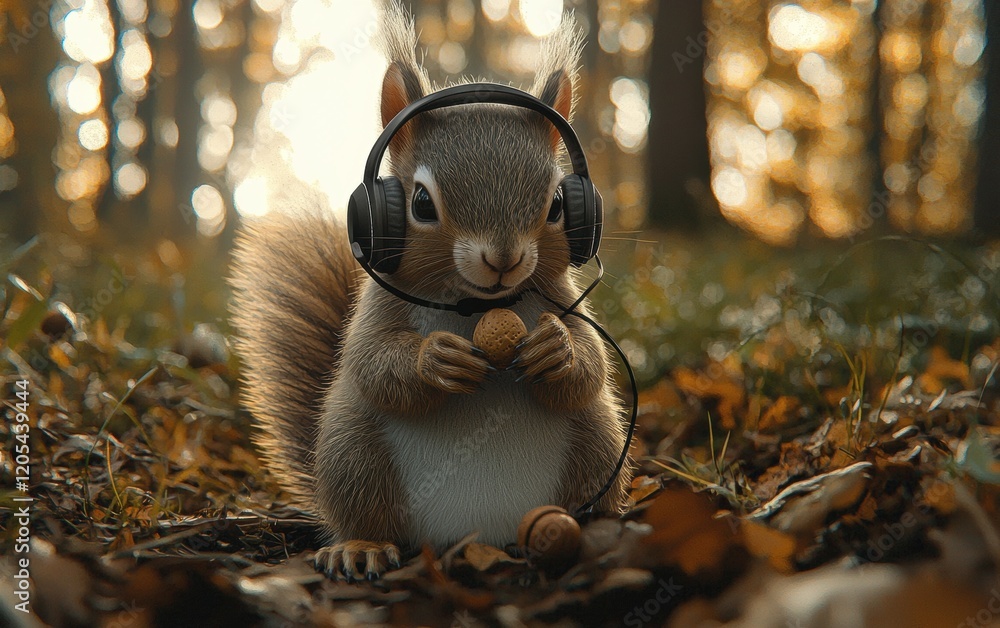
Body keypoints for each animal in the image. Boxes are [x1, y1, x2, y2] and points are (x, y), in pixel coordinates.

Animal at [229, 2, 630, 580]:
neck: (477, 305)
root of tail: (472, 533)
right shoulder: (377, 307)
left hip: (597, 441)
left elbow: (592, 364)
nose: (503, 260)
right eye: (420, 203)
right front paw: (434, 360)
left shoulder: (564, 299)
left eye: (557, 203)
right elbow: (370, 361)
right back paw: (361, 546)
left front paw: (557, 349)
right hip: (354, 451)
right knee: (364, 510)